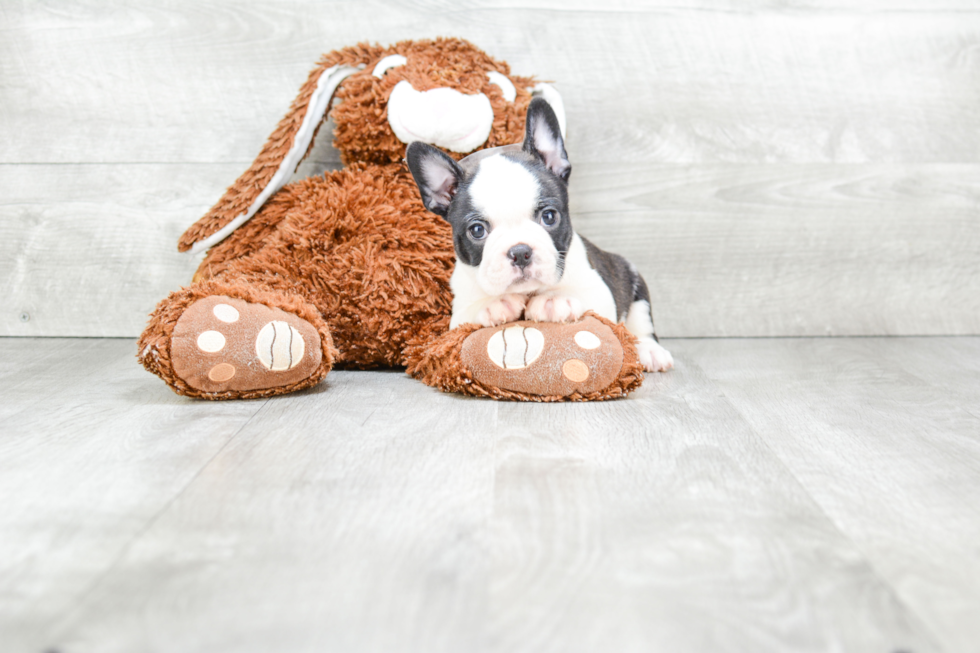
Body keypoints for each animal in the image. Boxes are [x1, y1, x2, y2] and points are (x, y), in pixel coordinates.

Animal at [406, 97, 672, 372]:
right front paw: (494, 304)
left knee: (642, 325)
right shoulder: (457, 315)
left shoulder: (600, 293)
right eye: (477, 230)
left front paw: (554, 300)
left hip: (634, 281)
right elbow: (468, 315)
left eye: (549, 217)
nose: (520, 252)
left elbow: (583, 297)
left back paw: (650, 352)